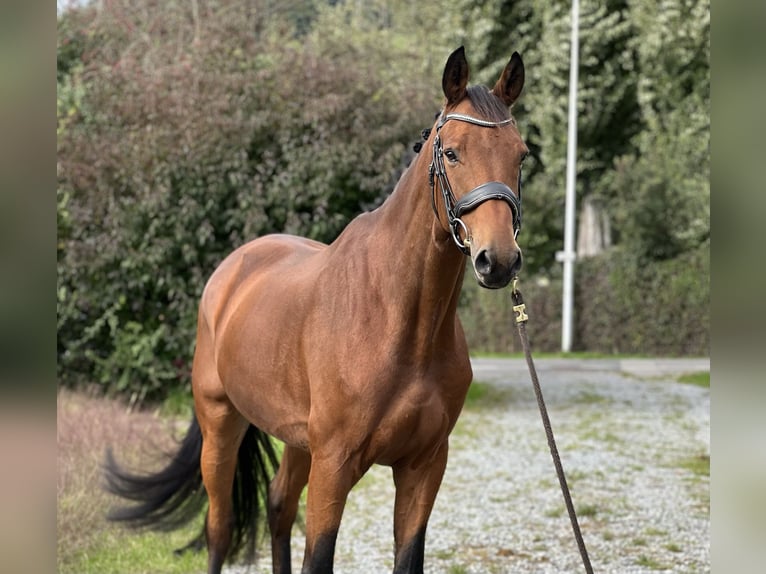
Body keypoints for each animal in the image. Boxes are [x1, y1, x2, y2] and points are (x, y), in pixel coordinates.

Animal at [106, 46, 528, 574]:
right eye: (451, 152)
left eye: (521, 155)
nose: (500, 260)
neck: (401, 321)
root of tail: (230, 271)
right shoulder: (335, 464)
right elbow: (318, 556)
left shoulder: (424, 466)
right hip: (220, 424)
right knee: (219, 528)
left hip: (295, 441)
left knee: (279, 505)